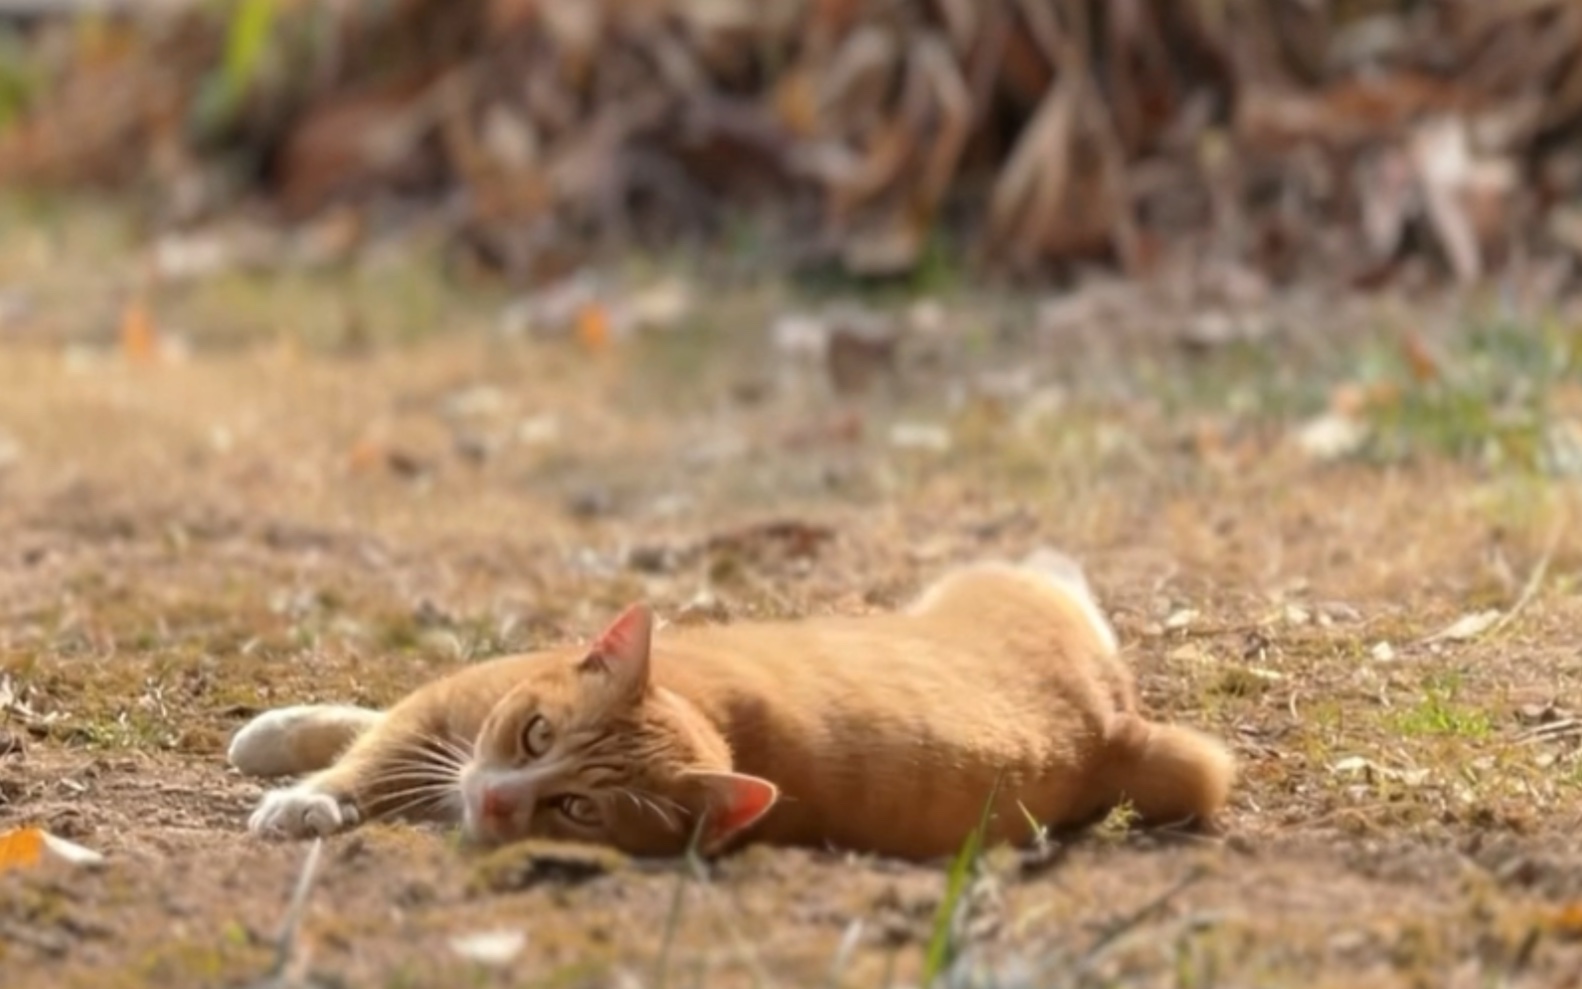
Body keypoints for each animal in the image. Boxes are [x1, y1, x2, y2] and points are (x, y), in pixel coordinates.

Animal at [229, 550, 1227, 860]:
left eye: (579, 809)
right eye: (537, 732)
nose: (500, 800)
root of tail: (1114, 720)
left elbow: (378, 754)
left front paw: (305, 794)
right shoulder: (450, 711)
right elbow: (376, 738)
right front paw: (289, 751)